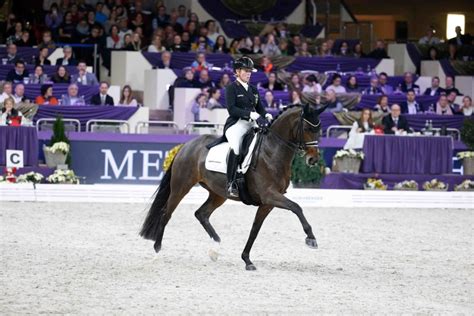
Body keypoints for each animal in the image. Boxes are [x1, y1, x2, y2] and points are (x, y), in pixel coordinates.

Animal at [140, 103, 326, 270]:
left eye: (319, 129)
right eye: (307, 128)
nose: (313, 159)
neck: (272, 151)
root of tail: (186, 145)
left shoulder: (268, 202)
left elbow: (255, 229)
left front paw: (247, 260)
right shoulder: (269, 195)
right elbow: (296, 207)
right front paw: (311, 238)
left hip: (218, 193)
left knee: (201, 214)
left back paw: (215, 249)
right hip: (181, 186)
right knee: (166, 213)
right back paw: (157, 251)